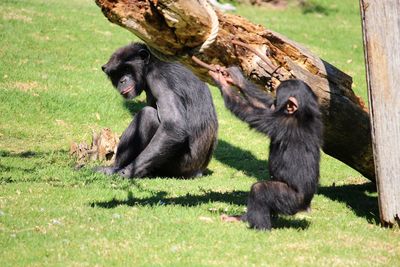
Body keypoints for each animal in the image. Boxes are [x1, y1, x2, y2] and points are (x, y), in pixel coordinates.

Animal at [95, 43, 217, 179]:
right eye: (116, 73)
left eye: (126, 69)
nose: (122, 80)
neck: (149, 67)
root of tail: (198, 172)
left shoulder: (159, 80)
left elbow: (173, 125)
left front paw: (126, 172)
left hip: (178, 166)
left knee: (147, 115)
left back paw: (114, 168)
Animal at [209, 66, 322, 230]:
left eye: (277, 100)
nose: (274, 104)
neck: (300, 114)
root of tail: (305, 206)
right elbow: (261, 105)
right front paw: (236, 78)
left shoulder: (279, 122)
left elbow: (251, 112)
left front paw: (222, 82)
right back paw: (241, 218)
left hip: (290, 199)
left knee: (260, 190)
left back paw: (259, 227)